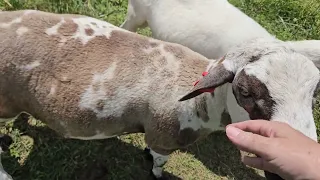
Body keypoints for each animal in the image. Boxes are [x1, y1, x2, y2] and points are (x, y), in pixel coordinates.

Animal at [0, 9, 318, 180]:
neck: (202, 102)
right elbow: (159, 162)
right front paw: (154, 172)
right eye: (245, 92)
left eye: (313, 94)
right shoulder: (163, 136)